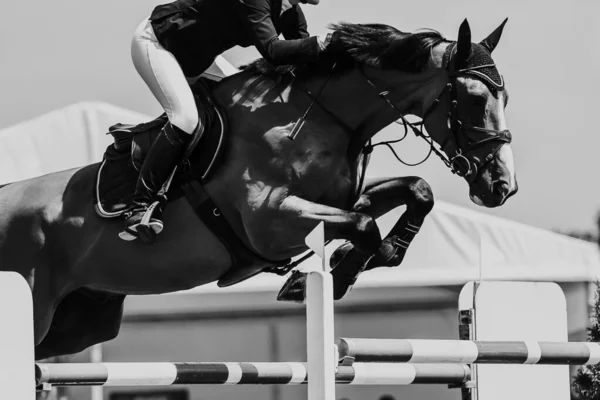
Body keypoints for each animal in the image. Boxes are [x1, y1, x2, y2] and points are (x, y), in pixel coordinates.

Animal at [0, 18, 516, 360]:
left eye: (505, 96)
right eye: (474, 99)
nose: (502, 188)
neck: (321, 118)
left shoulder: (338, 201)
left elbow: (416, 191)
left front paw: (370, 257)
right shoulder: (270, 222)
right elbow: (365, 224)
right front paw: (328, 278)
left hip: (81, 321)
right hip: (35, 306)